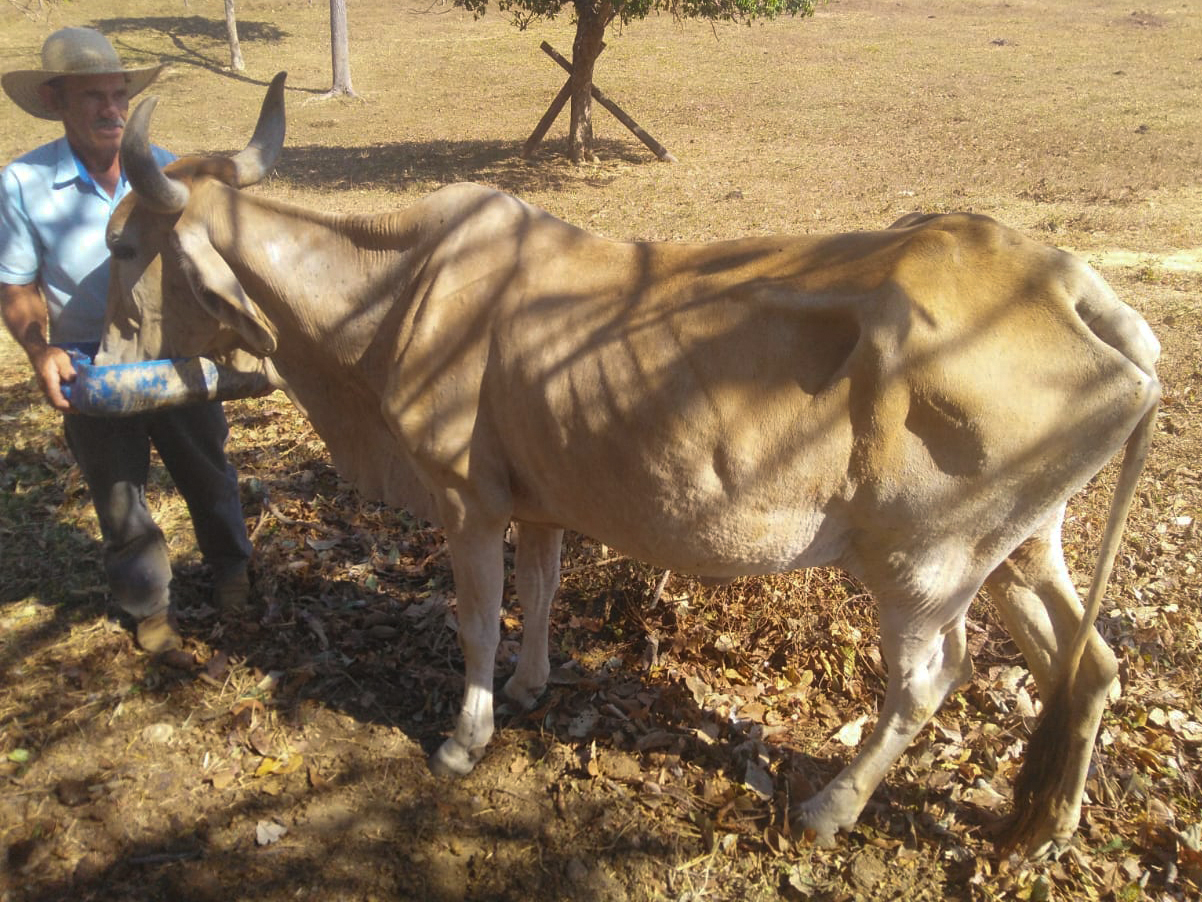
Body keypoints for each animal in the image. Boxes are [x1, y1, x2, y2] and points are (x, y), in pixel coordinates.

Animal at [103, 74, 1163, 856]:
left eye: (120, 244)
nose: (106, 340)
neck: (392, 292)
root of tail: (1073, 288)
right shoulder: (536, 499)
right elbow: (538, 590)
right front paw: (529, 689)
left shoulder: (464, 498)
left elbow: (478, 619)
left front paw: (463, 740)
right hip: (1019, 547)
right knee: (1089, 663)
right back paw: (1045, 828)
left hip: (922, 565)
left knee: (930, 678)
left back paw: (831, 808)